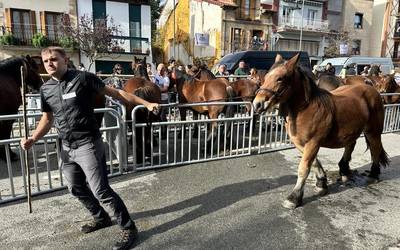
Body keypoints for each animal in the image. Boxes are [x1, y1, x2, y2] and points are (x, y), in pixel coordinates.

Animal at [253, 54, 388, 209]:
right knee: (351, 145)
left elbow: (304, 168)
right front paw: (321, 183)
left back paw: (373, 174)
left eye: (280, 78)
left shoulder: (313, 142)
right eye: (266, 77)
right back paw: (344, 171)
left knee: (375, 148)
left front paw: (294, 197)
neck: (305, 109)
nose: (257, 104)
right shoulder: (301, 143)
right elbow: (314, 163)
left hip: (373, 131)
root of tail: (372, 89)